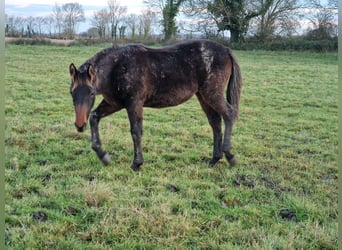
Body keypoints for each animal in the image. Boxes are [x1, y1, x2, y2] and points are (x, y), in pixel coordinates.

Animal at [68, 39, 242, 172]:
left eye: (91, 93)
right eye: (72, 92)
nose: (79, 125)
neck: (117, 67)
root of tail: (226, 50)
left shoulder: (134, 103)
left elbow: (136, 131)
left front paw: (136, 163)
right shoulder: (114, 103)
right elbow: (94, 117)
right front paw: (103, 156)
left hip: (212, 93)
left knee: (229, 114)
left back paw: (230, 156)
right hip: (203, 96)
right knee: (215, 123)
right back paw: (214, 159)